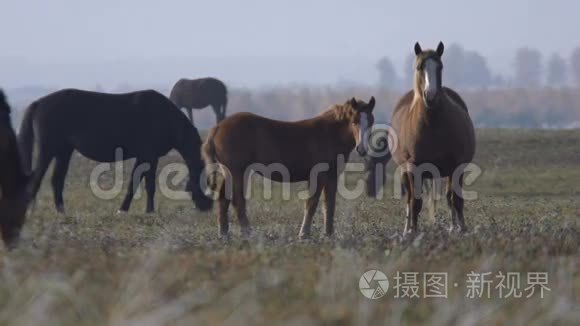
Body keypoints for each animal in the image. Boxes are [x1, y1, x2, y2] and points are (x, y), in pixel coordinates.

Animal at [18, 88, 214, 214]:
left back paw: (61, 212)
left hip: (63, 151)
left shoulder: (147, 157)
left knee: (56, 180)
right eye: (207, 181)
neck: (166, 118)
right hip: (48, 150)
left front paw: (142, 210)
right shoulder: (147, 156)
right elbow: (141, 184)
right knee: (37, 179)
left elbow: (143, 184)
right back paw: (31, 213)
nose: (208, 207)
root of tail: (38, 103)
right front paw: (135, 210)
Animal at [203, 97, 376, 237]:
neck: (329, 134)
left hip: (228, 171)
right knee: (237, 201)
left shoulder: (332, 176)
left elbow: (329, 205)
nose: (361, 149)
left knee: (223, 198)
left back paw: (223, 234)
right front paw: (304, 234)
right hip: (236, 171)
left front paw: (328, 234)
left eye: (371, 122)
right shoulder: (318, 175)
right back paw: (248, 233)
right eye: (354, 121)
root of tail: (217, 128)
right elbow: (311, 203)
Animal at [390, 41, 476, 234]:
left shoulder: (456, 166)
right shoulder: (414, 167)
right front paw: (413, 231)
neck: (432, 123)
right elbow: (415, 202)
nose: (431, 95)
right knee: (409, 199)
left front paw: (461, 229)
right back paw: (407, 229)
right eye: (419, 67)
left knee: (449, 197)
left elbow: (456, 200)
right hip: (405, 171)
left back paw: (453, 226)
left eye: (440, 67)